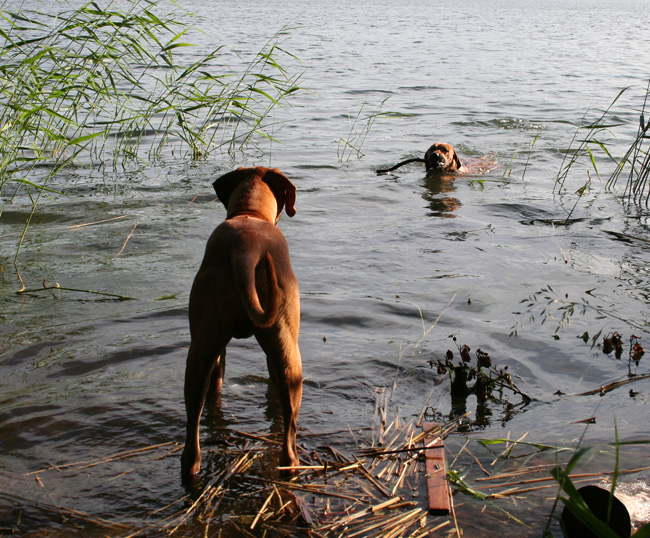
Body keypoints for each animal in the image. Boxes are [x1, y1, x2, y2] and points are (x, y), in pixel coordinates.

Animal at [181, 164, 302, 482]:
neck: (249, 213)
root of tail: (245, 251)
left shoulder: (217, 348)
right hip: (289, 355)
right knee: (289, 430)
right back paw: (292, 464)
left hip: (201, 347)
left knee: (192, 426)